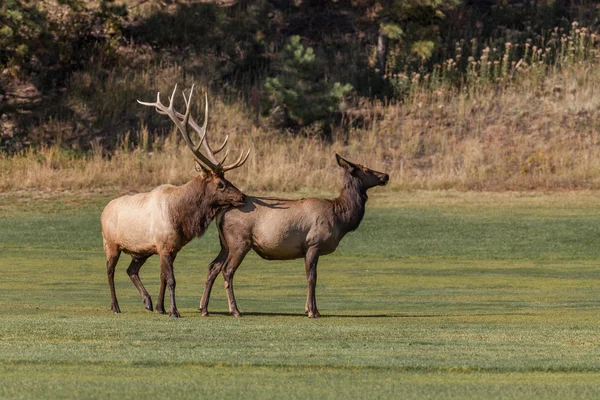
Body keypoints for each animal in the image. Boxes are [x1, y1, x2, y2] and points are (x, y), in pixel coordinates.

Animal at [101, 85, 248, 318]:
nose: (242, 197)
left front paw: (160, 307)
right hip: (111, 243)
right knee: (110, 271)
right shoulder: (163, 246)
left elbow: (162, 277)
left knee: (131, 269)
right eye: (220, 184)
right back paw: (115, 306)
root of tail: (103, 210)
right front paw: (174, 311)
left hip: (141, 251)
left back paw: (147, 301)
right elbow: (171, 279)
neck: (180, 216)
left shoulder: (170, 248)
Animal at [199, 154, 392, 318]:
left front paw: (311, 309)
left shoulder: (309, 249)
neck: (341, 218)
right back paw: (235, 310)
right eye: (365, 169)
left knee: (213, 267)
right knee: (227, 270)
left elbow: (312, 277)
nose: (386, 175)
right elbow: (312, 277)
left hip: (225, 244)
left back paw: (204, 308)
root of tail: (221, 213)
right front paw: (312, 311)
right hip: (240, 242)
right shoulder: (313, 244)